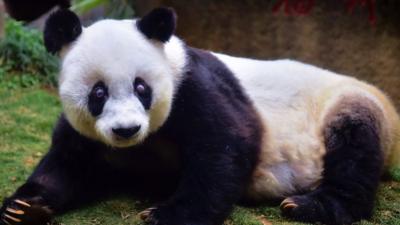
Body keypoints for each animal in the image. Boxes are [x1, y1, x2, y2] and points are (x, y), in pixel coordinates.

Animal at [0, 7, 400, 225]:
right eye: (98, 93)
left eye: (142, 87)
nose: (126, 129)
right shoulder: (85, 131)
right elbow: (68, 163)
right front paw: (23, 208)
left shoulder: (193, 87)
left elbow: (225, 145)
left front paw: (166, 214)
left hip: (347, 106)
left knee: (354, 147)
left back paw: (309, 205)